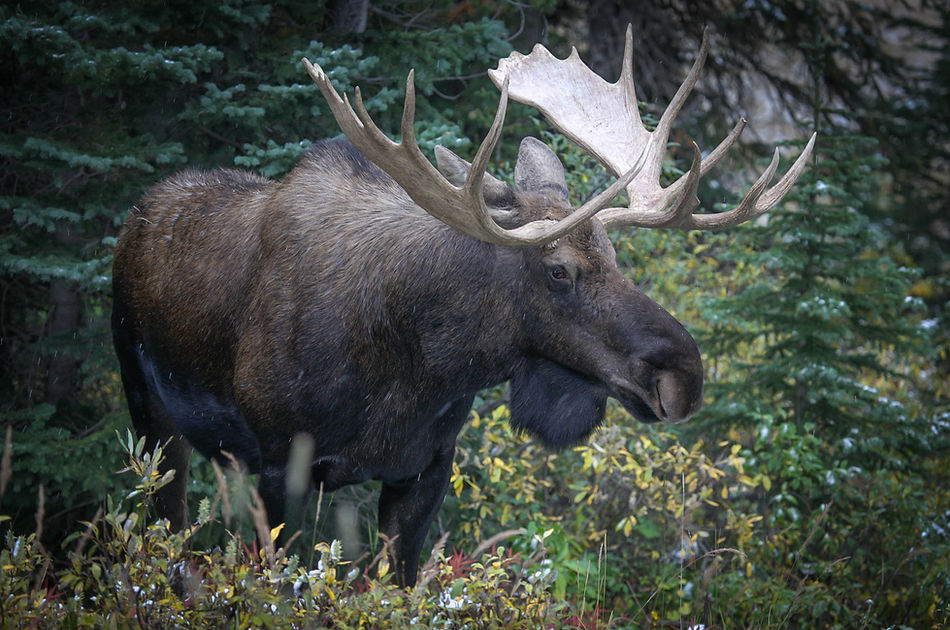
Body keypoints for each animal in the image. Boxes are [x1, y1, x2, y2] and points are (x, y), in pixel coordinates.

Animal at [111, 26, 814, 586]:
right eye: (558, 270)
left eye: (618, 258)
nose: (683, 375)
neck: (416, 368)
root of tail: (138, 215)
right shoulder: (282, 465)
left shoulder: (425, 470)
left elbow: (396, 585)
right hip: (149, 411)